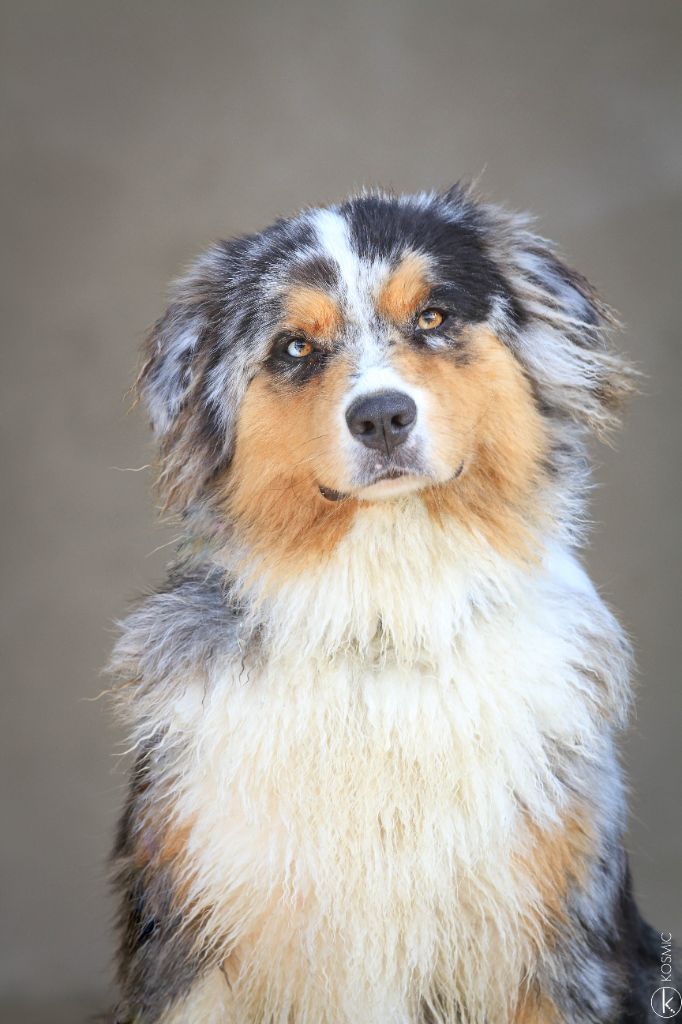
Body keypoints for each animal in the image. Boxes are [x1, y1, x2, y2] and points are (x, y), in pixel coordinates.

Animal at [109, 186, 659, 1024]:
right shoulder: (193, 943)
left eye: (432, 316)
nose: (382, 418)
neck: (386, 620)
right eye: (294, 349)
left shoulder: (559, 946)